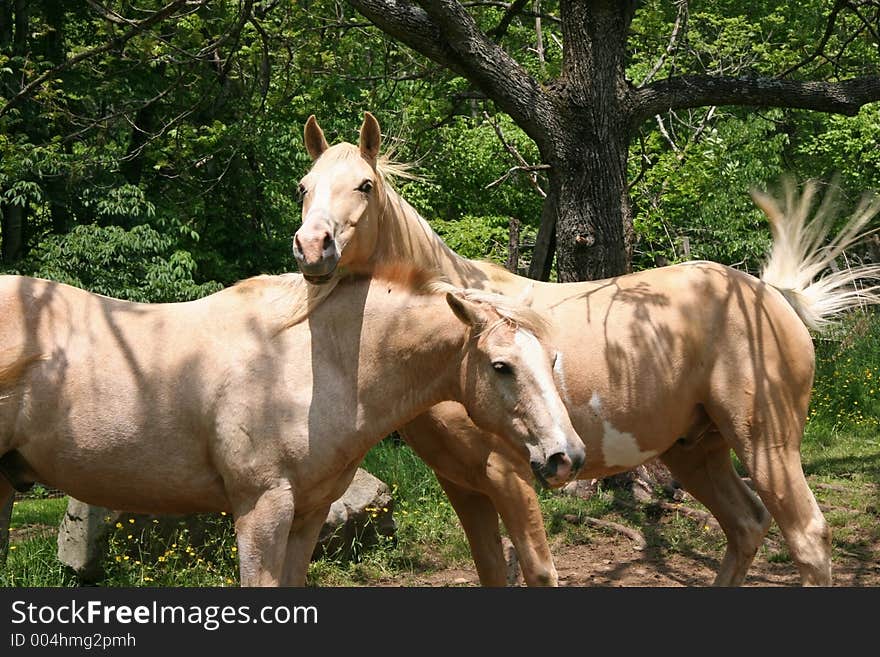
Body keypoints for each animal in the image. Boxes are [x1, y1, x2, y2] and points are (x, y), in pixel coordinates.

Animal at [0, 262, 584, 584]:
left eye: (552, 359)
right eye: (501, 366)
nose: (567, 457)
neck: (311, 363)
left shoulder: (308, 513)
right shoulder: (261, 508)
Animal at [294, 111, 880, 584]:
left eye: (365, 185)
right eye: (304, 187)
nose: (312, 247)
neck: (458, 337)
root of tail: (772, 296)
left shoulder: (510, 477)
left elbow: (537, 572)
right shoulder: (462, 485)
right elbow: (491, 573)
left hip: (767, 446)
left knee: (808, 537)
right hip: (696, 450)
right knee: (747, 527)